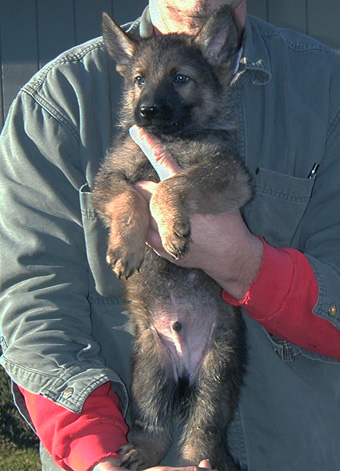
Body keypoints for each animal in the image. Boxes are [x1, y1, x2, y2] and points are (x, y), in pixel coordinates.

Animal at [93, 4, 252, 471]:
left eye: (180, 78)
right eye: (139, 79)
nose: (146, 111)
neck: (173, 138)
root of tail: (183, 364)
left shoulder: (228, 175)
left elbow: (171, 185)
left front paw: (171, 228)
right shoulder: (107, 181)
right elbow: (129, 194)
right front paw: (125, 247)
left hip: (217, 373)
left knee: (202, 432)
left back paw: (200, 459)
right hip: (148, 370)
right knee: (154, 428)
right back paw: (139, 452)